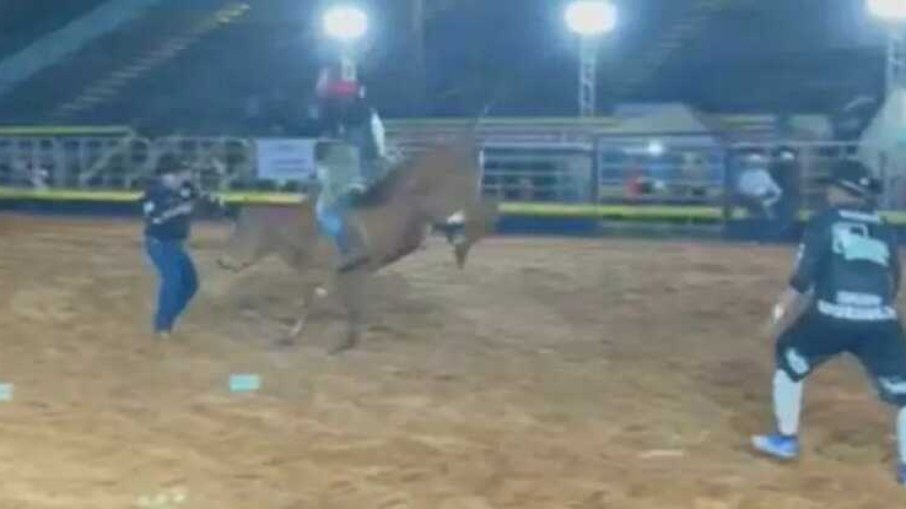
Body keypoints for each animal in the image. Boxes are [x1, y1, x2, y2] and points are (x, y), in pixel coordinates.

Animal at [220, 136, 502, 354]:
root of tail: (468, 146)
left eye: (243, 227)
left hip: (442, 202)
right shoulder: (352, 271)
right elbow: (350, 304)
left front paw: (291, 336)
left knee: (485, 207)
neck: (304, 227)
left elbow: (313, 300)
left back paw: (461, 244)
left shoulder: (328, 271)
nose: (223, 260)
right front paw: (347, 341)